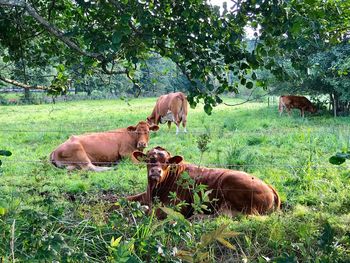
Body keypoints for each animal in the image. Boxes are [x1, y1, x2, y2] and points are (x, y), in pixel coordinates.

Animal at [127, 147, 280, 220]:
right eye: (149, 159)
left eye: (167, 162)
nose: (156, 171)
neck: (156, 189)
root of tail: (270, 187)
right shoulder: (146, 195)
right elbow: (125, 199)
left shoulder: (177, 207)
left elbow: (151, 211)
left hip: (230, 183)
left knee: (231, 215)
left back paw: (196, 217)